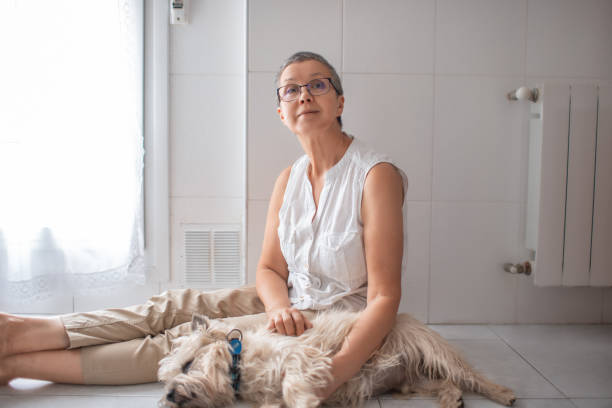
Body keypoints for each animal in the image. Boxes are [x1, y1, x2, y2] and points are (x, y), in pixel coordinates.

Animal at [158, 310, 516, 406]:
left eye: (187, 365)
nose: (170, 395)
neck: (241, 364)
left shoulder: (302, 357)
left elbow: (293, 384)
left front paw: (305, 402)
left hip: (434, 351)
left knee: (469, 376)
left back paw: (502, 394)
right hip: (411, 382)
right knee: (444, 383)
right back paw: (451, 398)